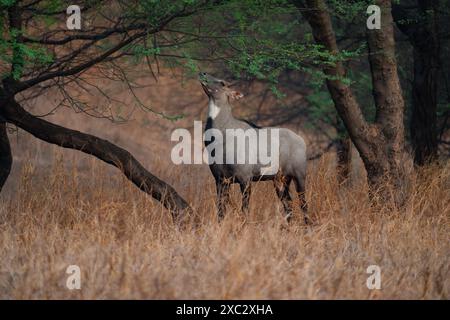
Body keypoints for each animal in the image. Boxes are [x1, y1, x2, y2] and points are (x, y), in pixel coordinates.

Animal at [200, 72, 310, 222]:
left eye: (222, 83)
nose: (203, 74)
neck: (221, 137)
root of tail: (301, 140)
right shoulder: (220, 180)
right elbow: (220, 210)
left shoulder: (245, 178)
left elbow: (245, 209)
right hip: (280, 180)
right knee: (288, 203)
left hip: (299, 175)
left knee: (303, 203)